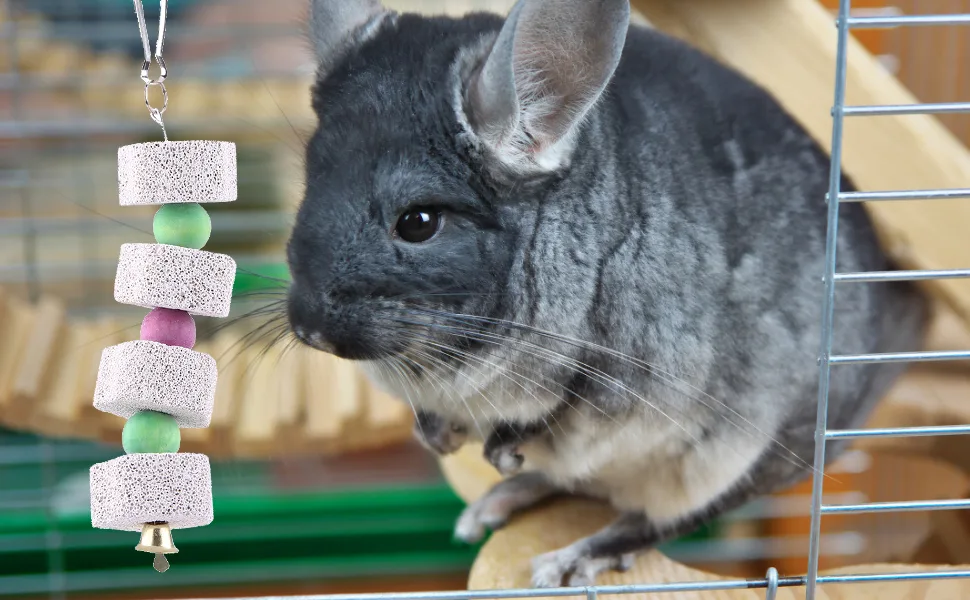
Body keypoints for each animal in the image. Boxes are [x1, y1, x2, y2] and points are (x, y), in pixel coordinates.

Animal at [286, 0, 928, 587]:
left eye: (418, 222)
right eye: (309, 188)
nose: (309, 328)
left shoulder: (632, 365)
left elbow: (562, 408)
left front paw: (500, 451)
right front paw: (439, 437)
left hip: (742, 455)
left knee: (659, 518)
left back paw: (567, 556)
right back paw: (496, 504)